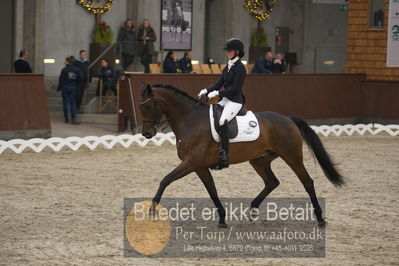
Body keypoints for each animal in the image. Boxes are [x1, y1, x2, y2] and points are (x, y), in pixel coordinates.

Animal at [139, 83, 346, 227]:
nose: (146, 134)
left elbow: (165, 180)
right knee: (272, 182)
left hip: (291, 156)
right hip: (259, 160)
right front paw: (222, 218)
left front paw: (152, 210)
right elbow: (212, 190)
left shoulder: (191, 162)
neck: (190, 120)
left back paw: (320, 218)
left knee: (307, 182)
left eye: (147, 107)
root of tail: (288, 119)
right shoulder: (199, 166)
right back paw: (252, 209)